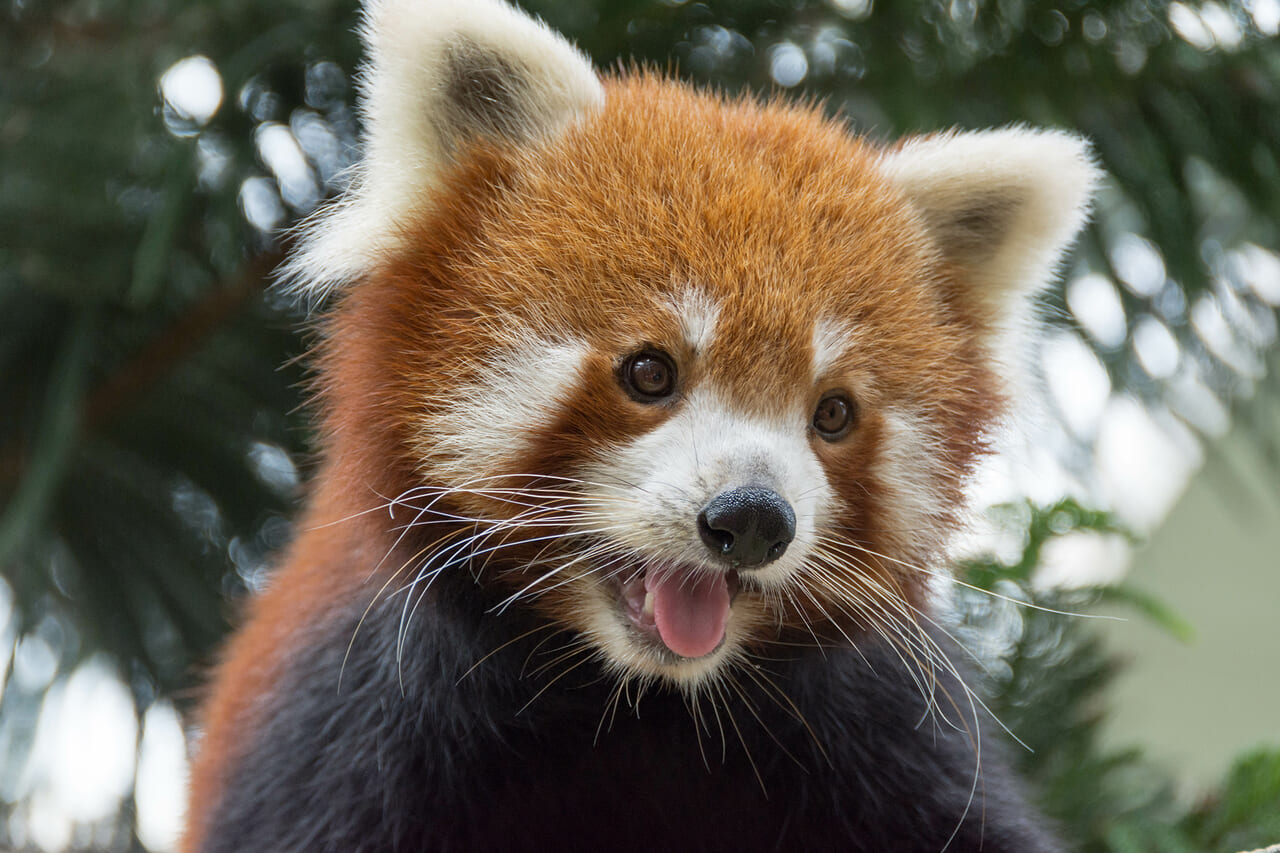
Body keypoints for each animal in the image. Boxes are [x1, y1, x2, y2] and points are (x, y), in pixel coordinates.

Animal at [183, 1, 1100, 850]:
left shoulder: (886, 731)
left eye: (833, 413)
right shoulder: (346, 731)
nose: (752, 518)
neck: (640, 703)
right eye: (650, 372)